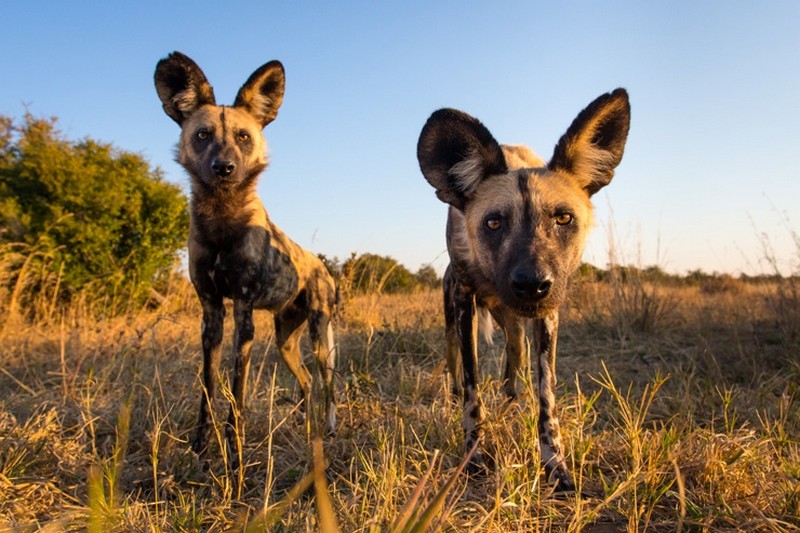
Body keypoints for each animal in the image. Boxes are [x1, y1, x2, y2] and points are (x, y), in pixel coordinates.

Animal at [155, 51, 336, 466]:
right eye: (203, 135)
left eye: (243, 137)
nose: (224, 167)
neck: (221, 219)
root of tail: (321, 265)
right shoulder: (211, 314)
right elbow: (208, 391)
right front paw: (200, 449)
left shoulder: (243, 313)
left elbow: (236, 396)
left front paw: (234, 457)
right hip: (286, 342)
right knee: (305, 382)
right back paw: (307, 429)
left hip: (320, 337)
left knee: (328, 385)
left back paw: (330, 430)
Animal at [418, 88, 632, 490]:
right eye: (493, 223)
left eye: (564, 218)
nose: (532, 284)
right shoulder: (465, 303)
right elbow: (472, 389)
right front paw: (473, 455)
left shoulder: (547, 315)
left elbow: (546, 395)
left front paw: (555, 464)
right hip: (454, 320)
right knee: (456, 366)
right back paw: (457, 399)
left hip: (513, 322)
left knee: (514, 361)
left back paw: (512, 405)